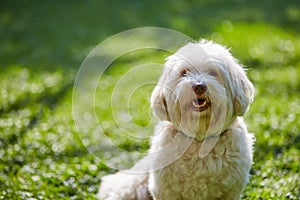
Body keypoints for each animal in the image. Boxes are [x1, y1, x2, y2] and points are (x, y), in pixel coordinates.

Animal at [97, 39, 254, 199]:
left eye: (213, 73)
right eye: (184, 73)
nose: (199, 86)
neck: (199, 137)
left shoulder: (230, 191)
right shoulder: (165, 191)